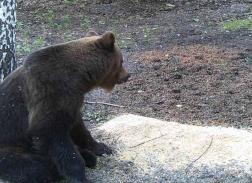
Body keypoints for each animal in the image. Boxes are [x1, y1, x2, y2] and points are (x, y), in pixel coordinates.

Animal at [0, 30, 130, 182]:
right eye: (121, 61)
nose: (128, 75)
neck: (79, 78)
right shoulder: (50, 91)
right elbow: (51, 132)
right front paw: (79, 175)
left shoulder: (72, 101)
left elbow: (78, 127)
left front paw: (101, 147)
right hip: (10, 146)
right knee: (31, 166)